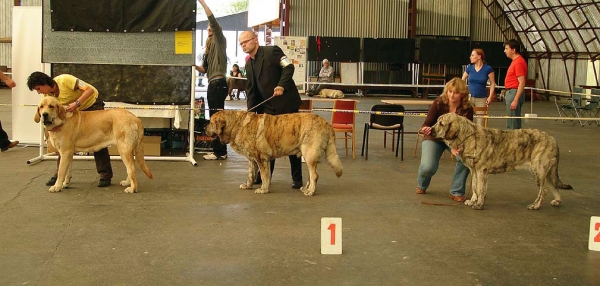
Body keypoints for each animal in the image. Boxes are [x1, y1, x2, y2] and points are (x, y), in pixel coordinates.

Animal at [204, 110, 342, 196]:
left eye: (210, 122)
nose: (204, 127)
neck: (235, 126)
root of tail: (327, 124)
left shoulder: (261, 158)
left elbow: (264, 175)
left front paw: (263, 189)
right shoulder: (252, 159)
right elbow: (251, 174)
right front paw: (248, 185)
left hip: (309, 153)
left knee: (315, 175)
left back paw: (310, 191)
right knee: (311, 174)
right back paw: (306, 188)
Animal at [432, 112, 572, 210]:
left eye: (441, 124)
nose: (430, 129)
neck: (468, 136)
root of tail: (552, 139)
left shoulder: (481, 170)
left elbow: (481, 188)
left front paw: (479, 204)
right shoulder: (474, 171)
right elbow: (475, 187)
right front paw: (472, 200)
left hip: (539, 170)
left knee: (544, 190)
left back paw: (535, 205)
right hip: (547, 173)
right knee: (553, 186)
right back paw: (557, 201)